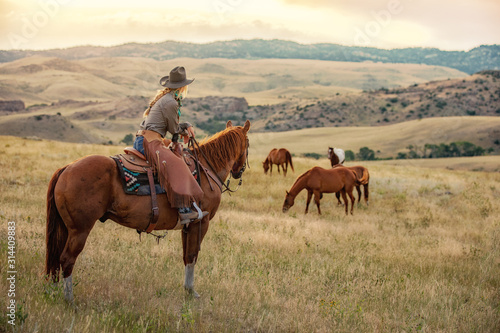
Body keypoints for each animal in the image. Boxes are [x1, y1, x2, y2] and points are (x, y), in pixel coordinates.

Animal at [44, 119, 250, 300]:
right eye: (248, 144)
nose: (238, 172)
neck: (206, 168)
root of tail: (67, 168)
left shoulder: (187, 226)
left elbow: (186, 256)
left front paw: (187, 289)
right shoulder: (201, 222)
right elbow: (192, 256)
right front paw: (191, 292)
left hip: (66, 228)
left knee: (56, 257)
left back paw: (54, 292)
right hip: (80, 229)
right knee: (67, 259)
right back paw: (69, 300)